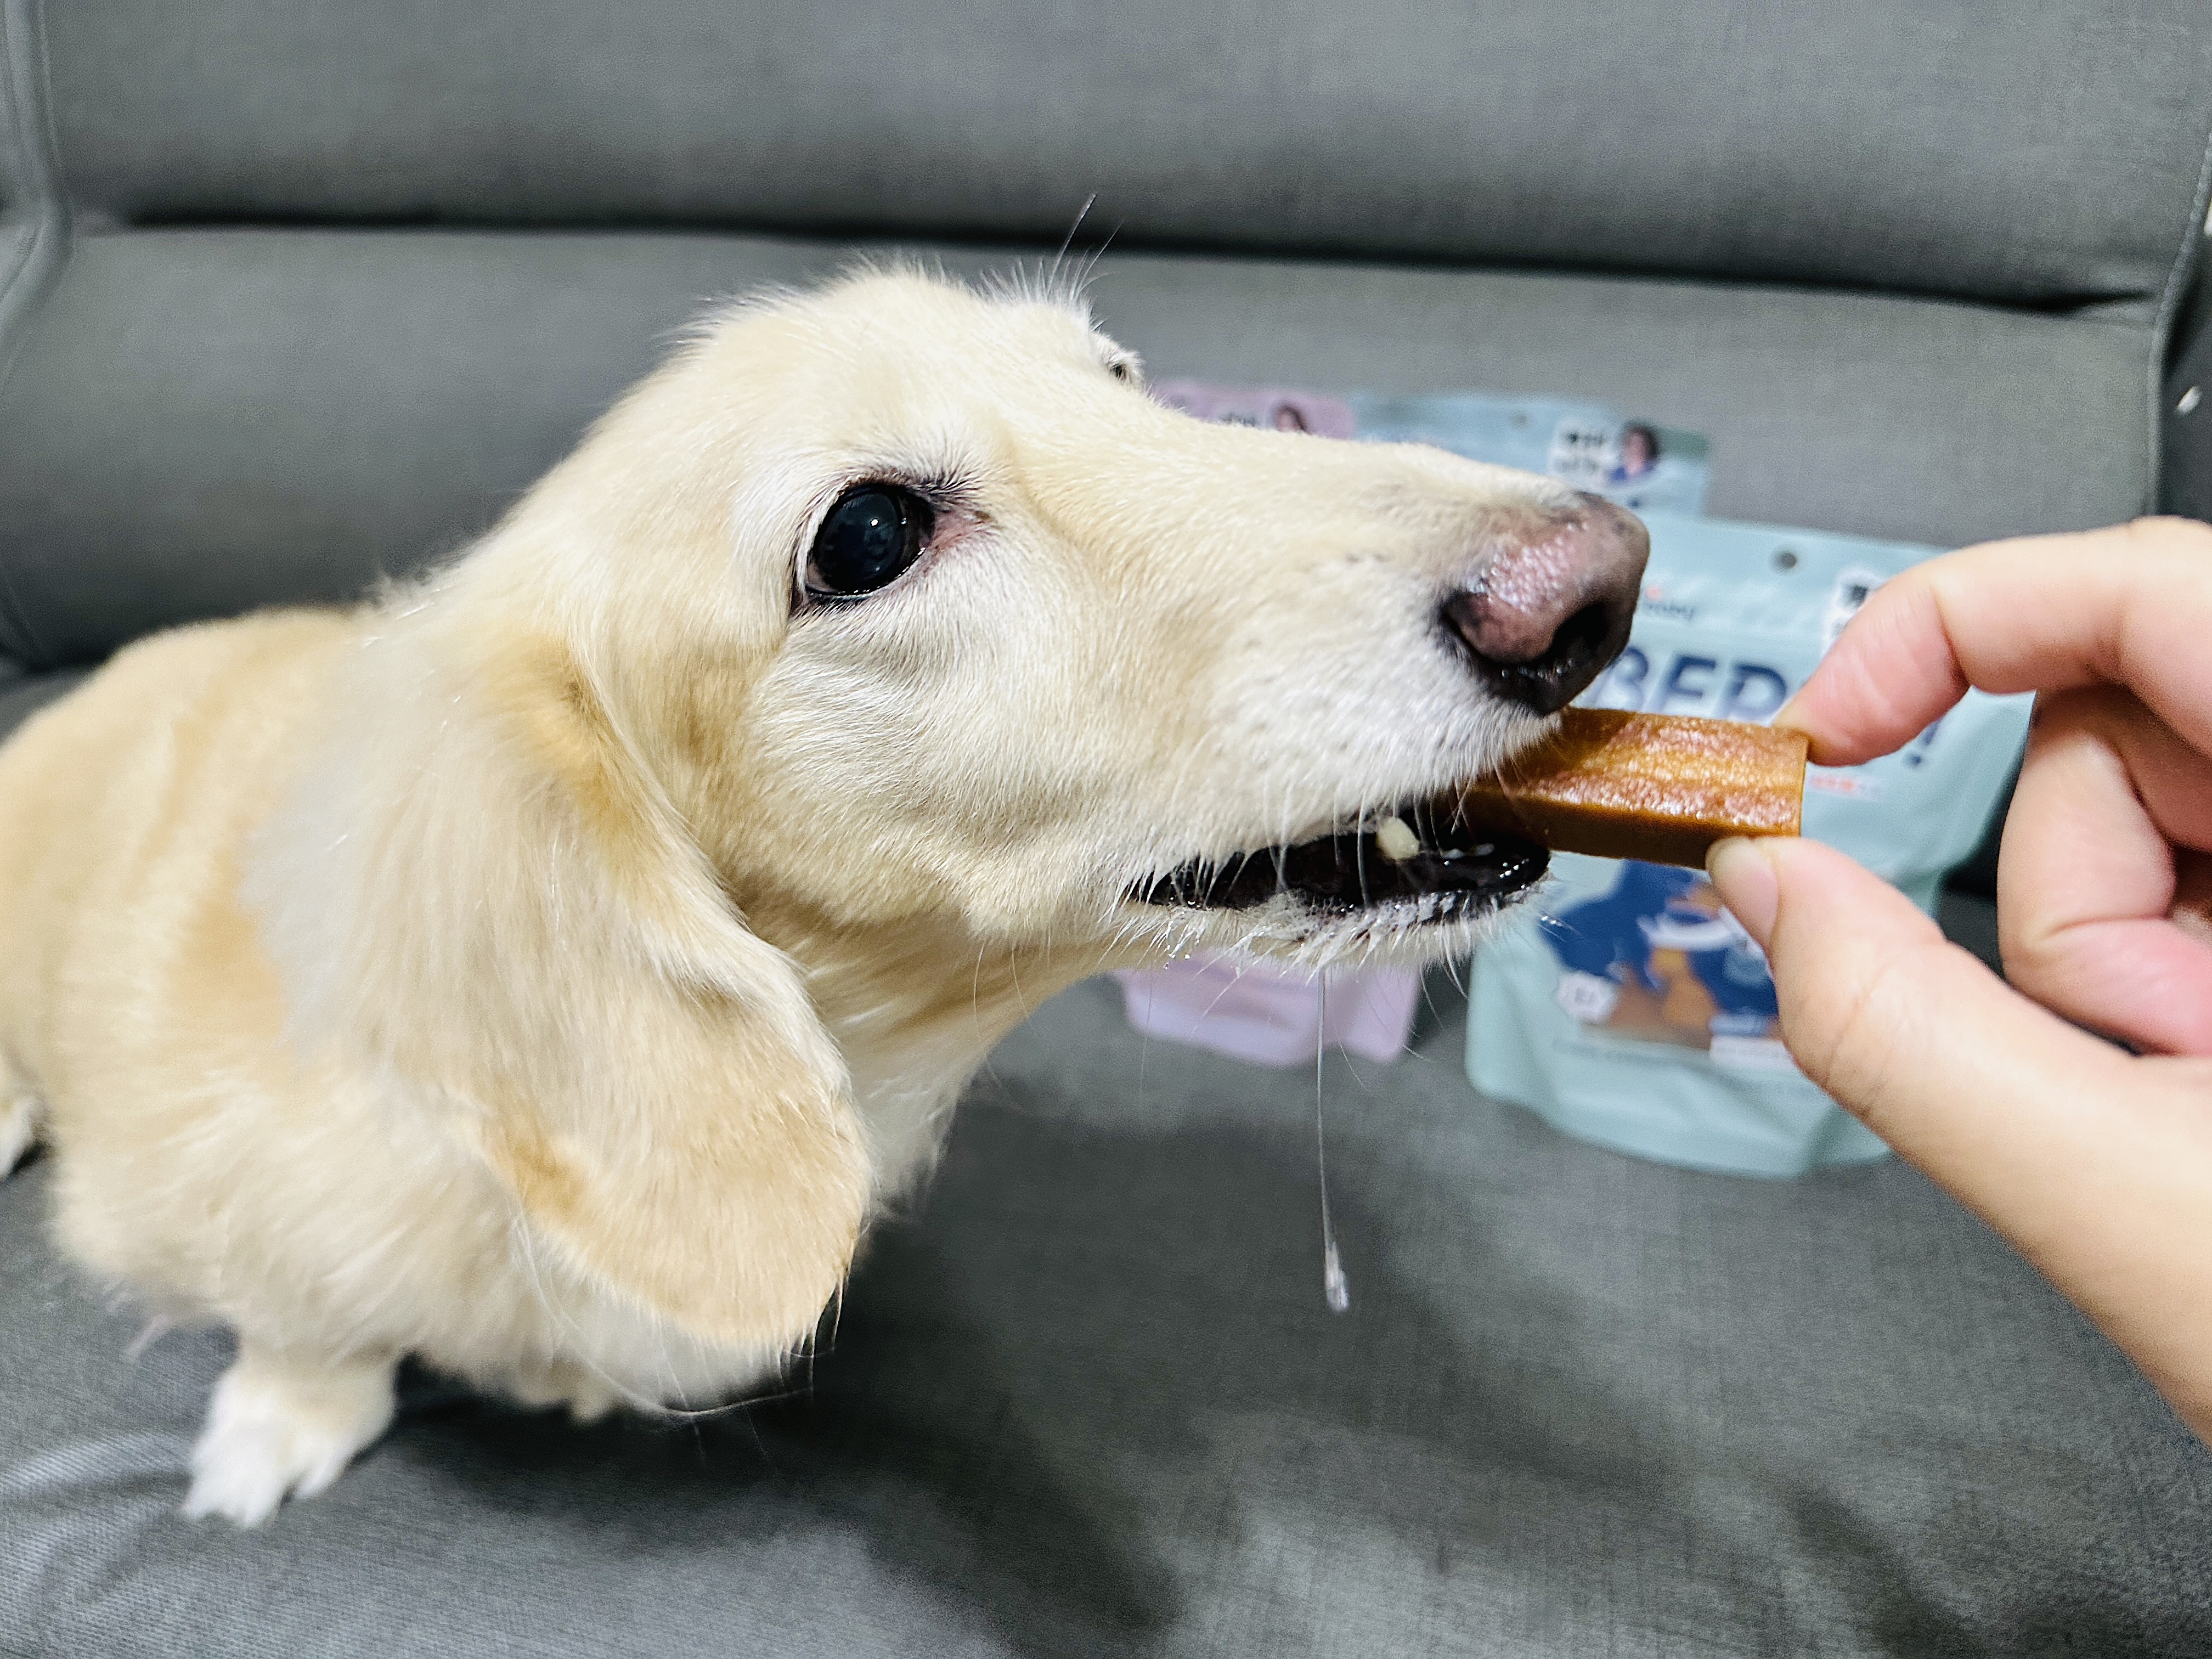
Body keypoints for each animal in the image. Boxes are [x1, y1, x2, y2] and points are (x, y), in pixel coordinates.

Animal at [0, 266, 1645, 1531]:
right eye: (865, 535)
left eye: (1120, 379)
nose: (1601, 583)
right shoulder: (189, 1189)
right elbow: (300, 1317)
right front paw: (282, 1427)